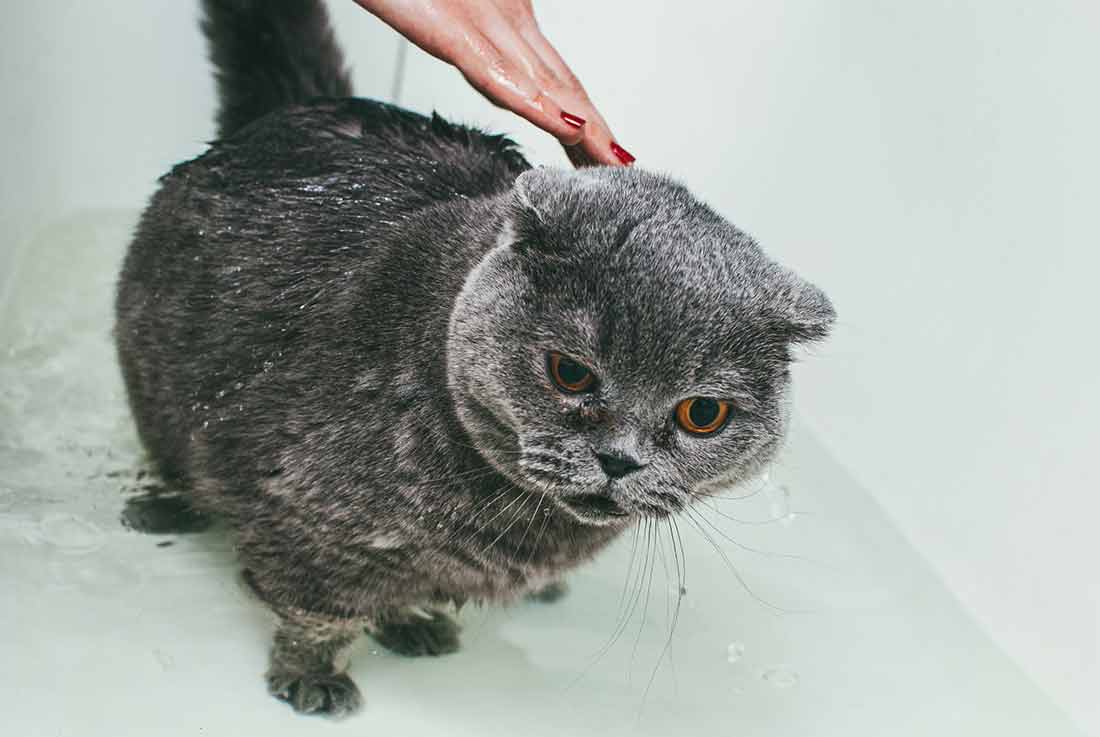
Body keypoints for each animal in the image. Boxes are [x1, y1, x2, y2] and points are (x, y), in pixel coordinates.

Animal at [113, 0, 831, 717]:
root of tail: (305, 105)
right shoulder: (305, 515)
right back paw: (161, 506)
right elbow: (319, 612)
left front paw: (412, 620)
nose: (620, 460)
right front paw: (313, 674)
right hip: (155, 374)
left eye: (703, 414)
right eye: (570, 372)